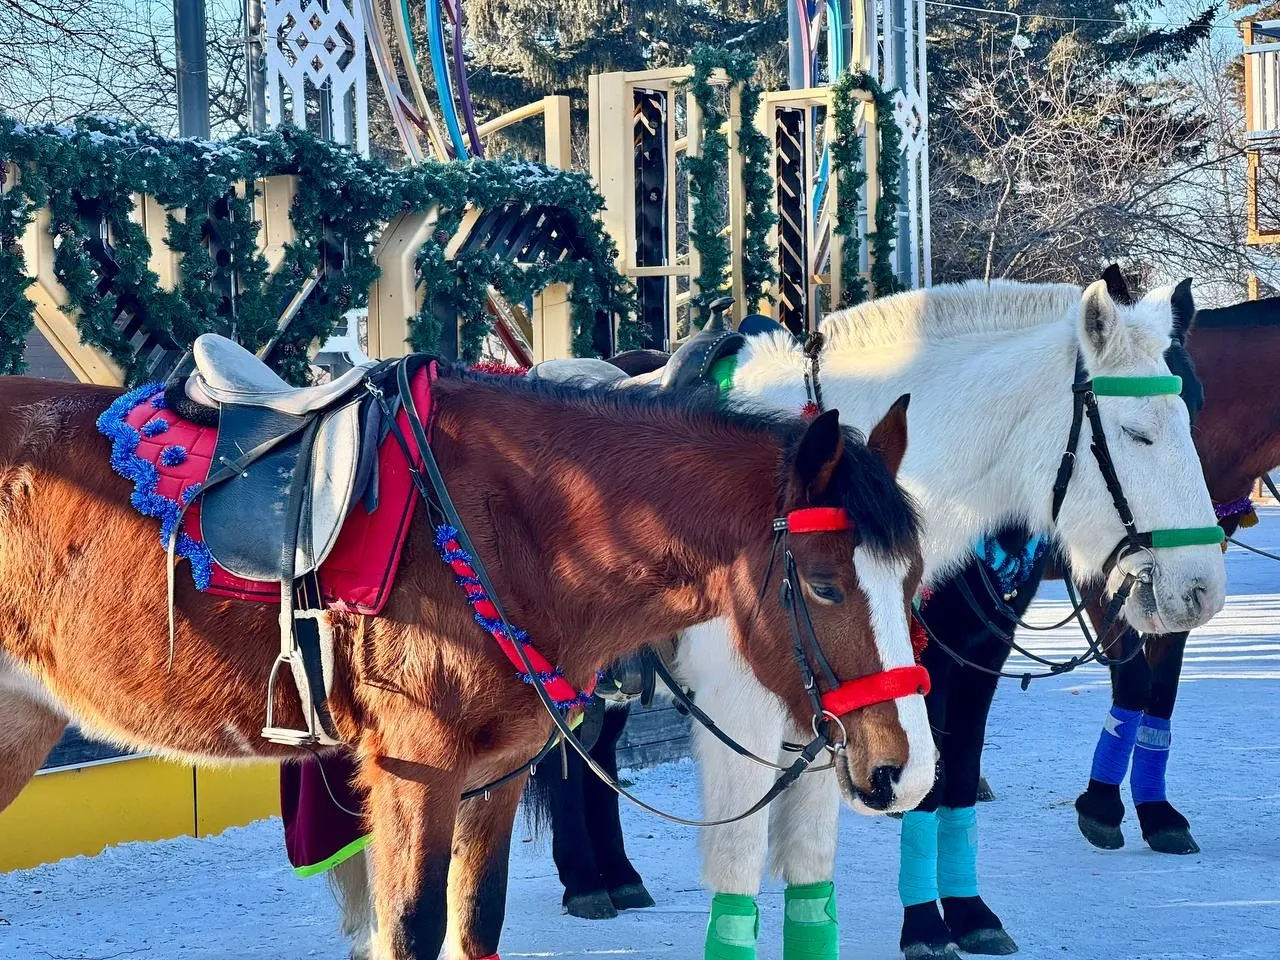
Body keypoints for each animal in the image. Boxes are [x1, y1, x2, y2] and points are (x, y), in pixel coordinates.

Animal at [0, 366, 926, 960]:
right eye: (824, 584)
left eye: (914, 577)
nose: (904, 772)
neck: (516, 524)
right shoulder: (417, 771)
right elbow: (409, 931)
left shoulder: (497, 776)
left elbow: (475, 925)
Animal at [675, 277, 1223, 960]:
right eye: (1136, 433)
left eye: (1193, 413)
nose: (1201, 588)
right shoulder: (781, 696)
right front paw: (926, 925)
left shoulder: (969, 658)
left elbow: (953, 775)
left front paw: (966, 912)